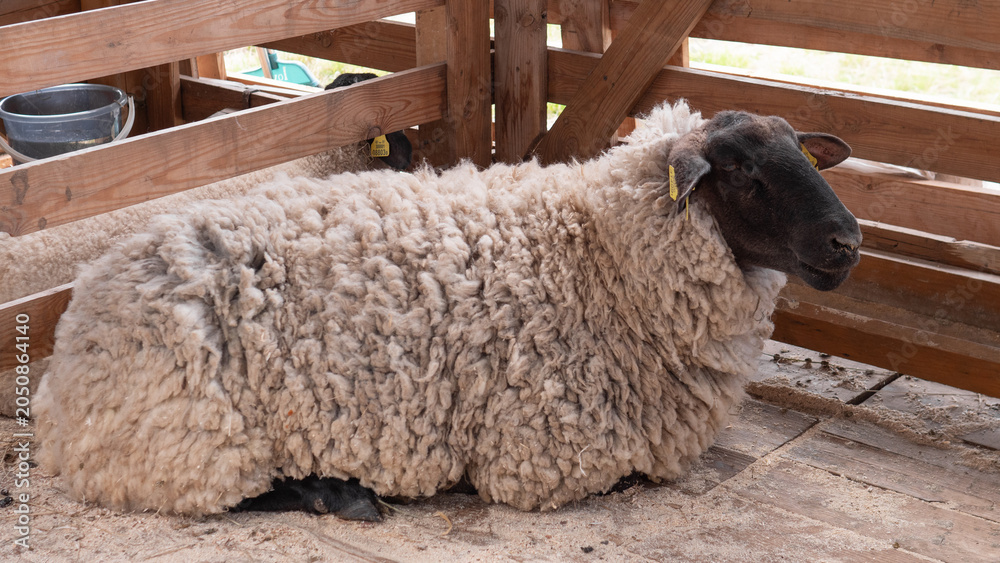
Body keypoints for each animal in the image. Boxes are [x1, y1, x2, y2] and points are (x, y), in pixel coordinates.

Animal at [34, 100, 861, 519]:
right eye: (743, 168)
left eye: (802, 150)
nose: (848, 239)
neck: (597, 252)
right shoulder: (546, 457)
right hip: (190, 438)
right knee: (229, 493)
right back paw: (341, 493)